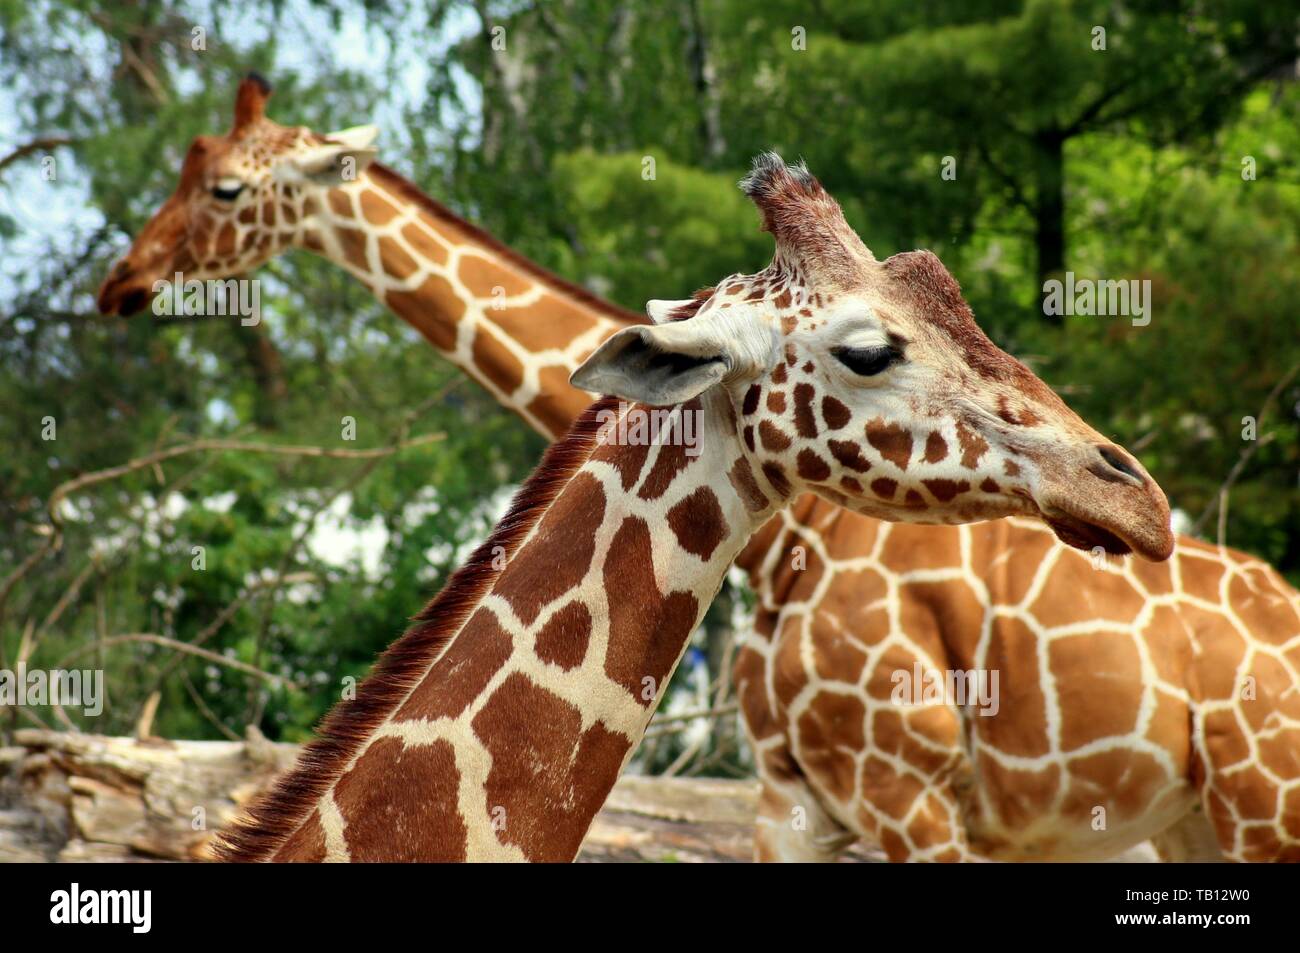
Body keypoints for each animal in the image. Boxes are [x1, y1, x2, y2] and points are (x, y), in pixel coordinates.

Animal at [98, 76, 1300, 862]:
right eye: (870, 349)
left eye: (224, 191)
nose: (1132, 492)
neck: (796, 547)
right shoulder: (801, 799)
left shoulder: (908, 791)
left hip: (1257, 807)